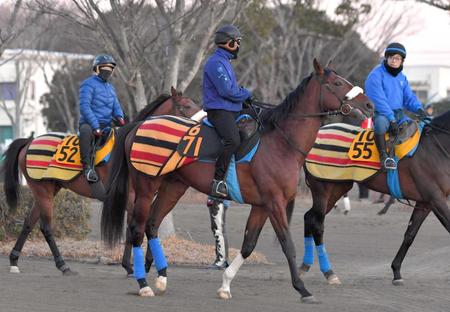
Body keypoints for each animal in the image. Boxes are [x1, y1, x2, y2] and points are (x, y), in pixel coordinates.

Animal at [1, 86, 199, 274]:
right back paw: (63, 265)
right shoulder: (129, 196)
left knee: (29, 222)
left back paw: (14, 260)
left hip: (47, 189)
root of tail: (29, 142)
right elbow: (134, 228)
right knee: (46, 227)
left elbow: (136, 227)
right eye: (186, 106)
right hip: (42, 191)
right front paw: (133, 266)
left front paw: (131, 265)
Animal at [101, 59, 372, 302]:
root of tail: (139, 126)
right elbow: (287, 245)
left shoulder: (262, 205)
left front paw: (225, 285)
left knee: (152, 225)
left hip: (173, 188)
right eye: (337, 83)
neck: (281, 143)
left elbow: (248, 245)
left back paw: (161, 278)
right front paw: (302, 289)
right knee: (137, 228)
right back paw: (143, 283)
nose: (368, 104)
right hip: (146, 187)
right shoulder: (274, 203)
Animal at [298, 111, 450, 288]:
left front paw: (396, 271)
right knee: (316, 223)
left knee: (309, 217)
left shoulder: (426, 202)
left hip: (337, 187)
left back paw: (304, 267)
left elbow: (410, 234)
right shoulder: (436, 198)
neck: (436, 149)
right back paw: (329, 273)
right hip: (323, 188)